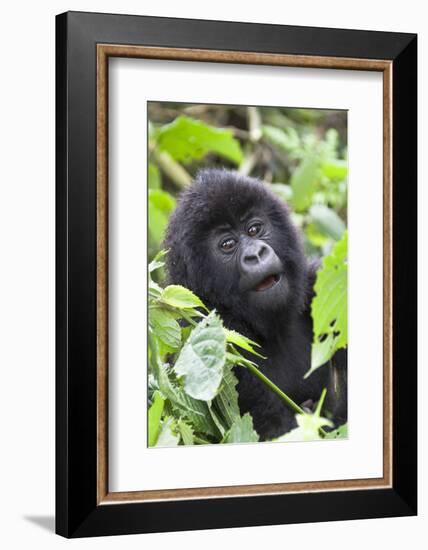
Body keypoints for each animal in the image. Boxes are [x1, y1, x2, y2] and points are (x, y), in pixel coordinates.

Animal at [165, 170, 348, 442]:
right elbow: (273, 428)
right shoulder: (210, 331)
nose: (256, 254)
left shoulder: (318, 284)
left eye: (254, 229)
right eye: (227, 245)